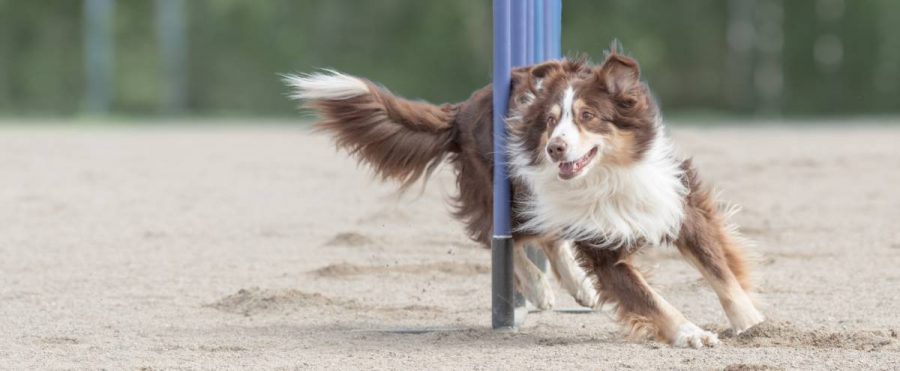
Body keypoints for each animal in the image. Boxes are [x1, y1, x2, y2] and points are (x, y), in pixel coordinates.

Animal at [284, 44, 764, 348]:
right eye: (551, 121)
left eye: (588, 116)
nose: (555, 148)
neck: (609, 176)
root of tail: (462, 109)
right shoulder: (604, 250)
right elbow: (649, 297)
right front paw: (690, 333)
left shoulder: (677, 202)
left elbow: (720, 272)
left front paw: (753, 324)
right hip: (505, 190)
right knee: (503, 238)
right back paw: (537, 286)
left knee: (547, 235)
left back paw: (576, 287)